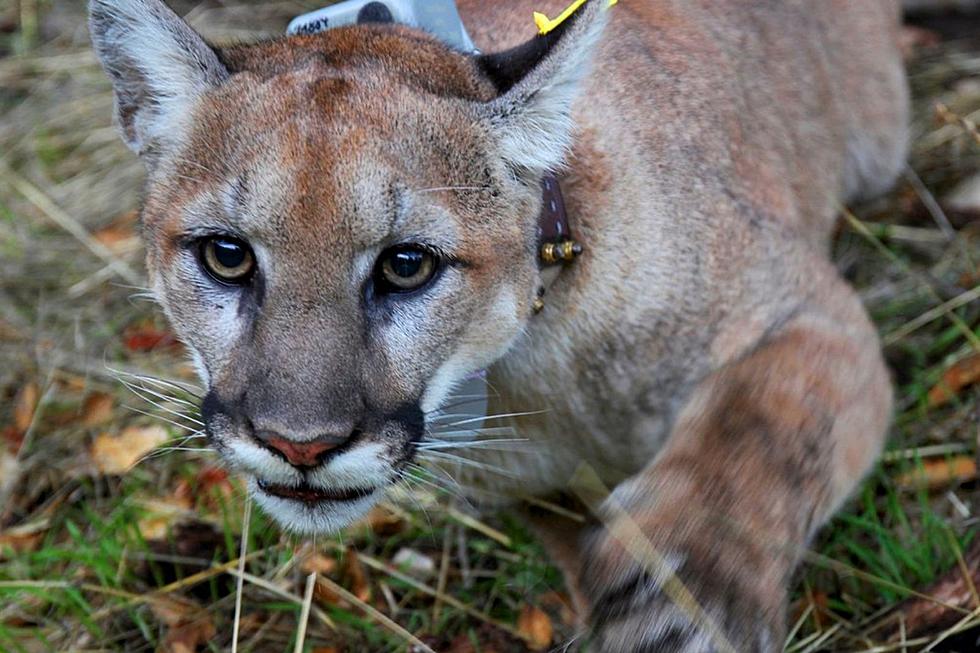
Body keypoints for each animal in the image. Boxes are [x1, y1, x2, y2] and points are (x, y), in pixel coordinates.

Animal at [88, 1, 908, 648]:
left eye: (407, 264)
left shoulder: (806, 309)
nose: (300, 444)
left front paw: (684, 599)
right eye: (226, 255)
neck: (530, 359)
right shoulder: (519, 487)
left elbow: (760, 426)